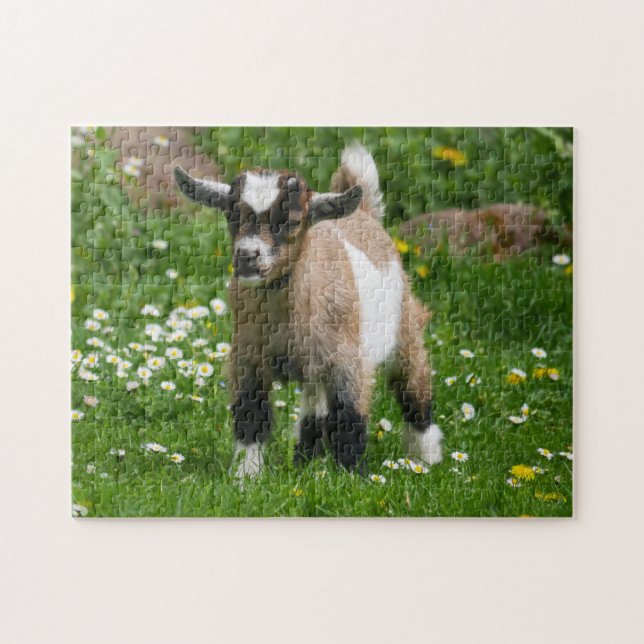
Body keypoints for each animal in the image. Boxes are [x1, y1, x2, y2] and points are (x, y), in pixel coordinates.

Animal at [175, 143, 443, 478]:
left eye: (290, 220)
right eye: (231, 214)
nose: (247, 256)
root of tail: (365, 214)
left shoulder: (348, 362)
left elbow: (349, 419)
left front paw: (353, 477)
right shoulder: (247, 356)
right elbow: (251, 415)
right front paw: (246, 475)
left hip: (404, 327)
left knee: (413, 389)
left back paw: (427, 460)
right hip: (315, 367)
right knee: (315, 407)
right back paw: (305, 461)